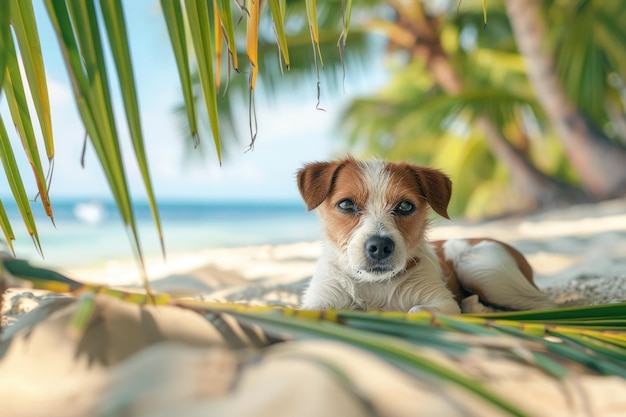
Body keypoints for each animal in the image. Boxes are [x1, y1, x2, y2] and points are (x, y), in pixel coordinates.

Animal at [298, 158, 556, 314]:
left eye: (405, 206)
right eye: (346, 204)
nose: (380, 246)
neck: (375, 285)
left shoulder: (441, 302)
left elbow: (417, 310)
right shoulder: (318, 302)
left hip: (481, 268)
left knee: (543, 305)